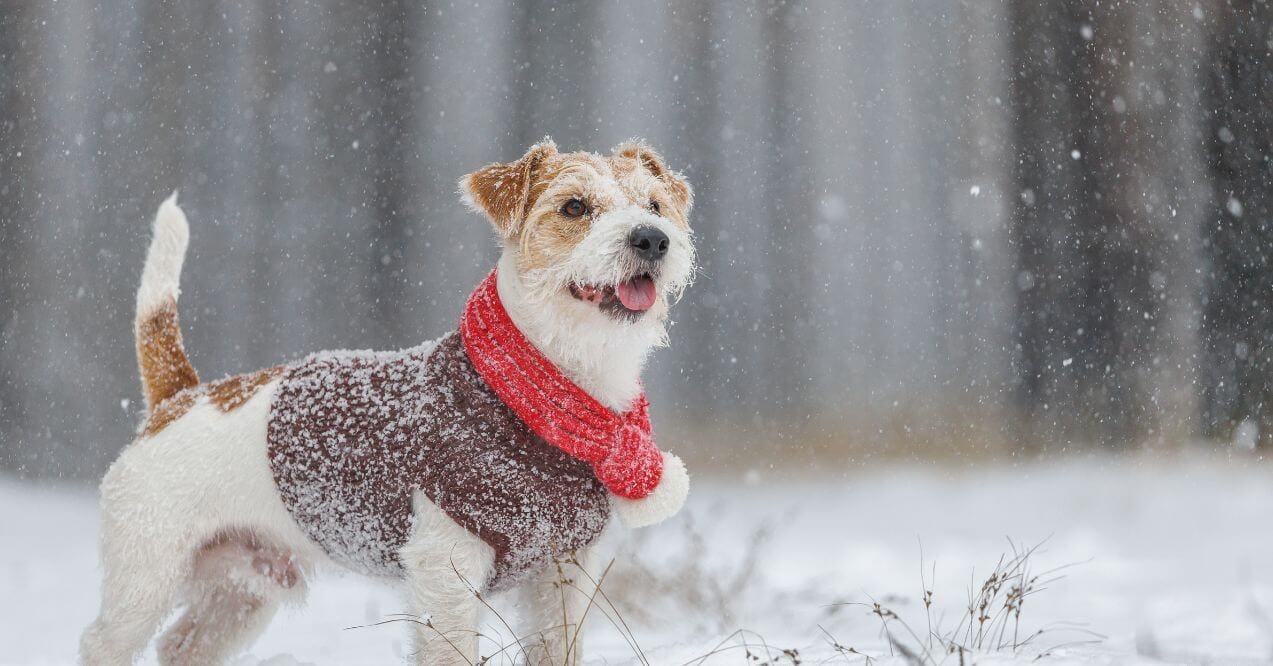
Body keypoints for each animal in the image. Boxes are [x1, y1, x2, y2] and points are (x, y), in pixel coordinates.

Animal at [82, 138, 697, 662]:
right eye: (574, 206)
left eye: (654, 203)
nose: (651, 237)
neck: (544, 392)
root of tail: (181, 395)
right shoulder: (445, 570)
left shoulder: (563, 573)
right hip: (146, 574)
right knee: (104, 643)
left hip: (243, 588)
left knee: (182, 645)